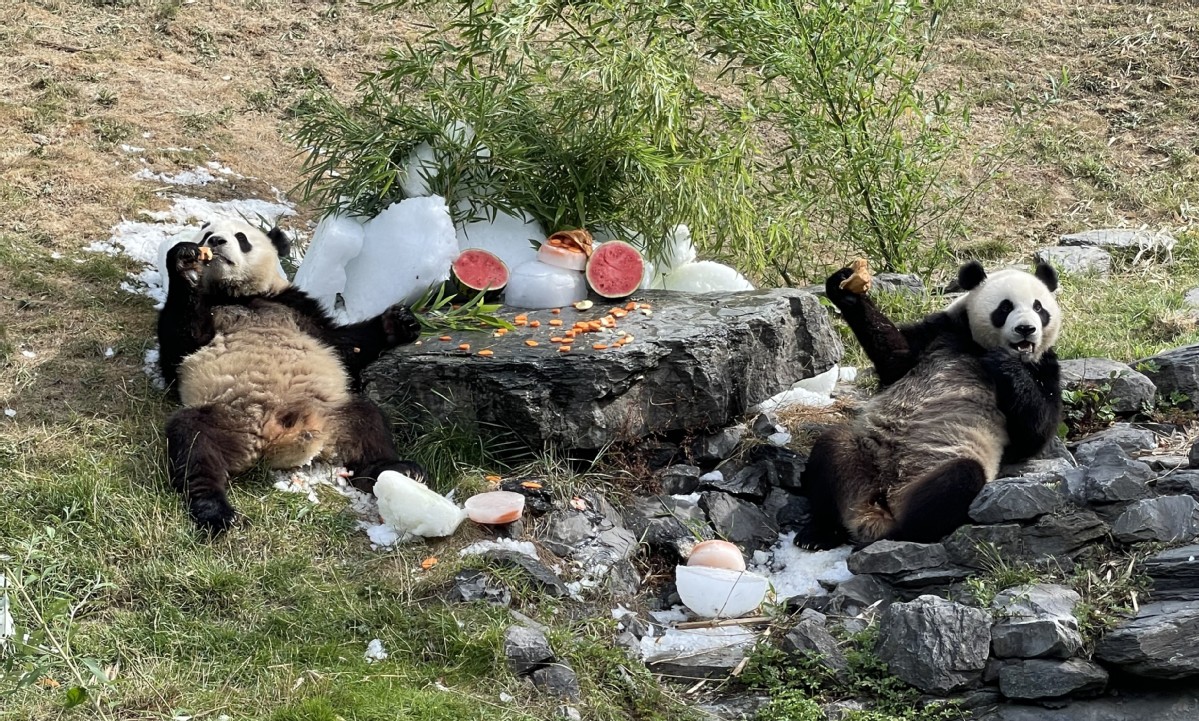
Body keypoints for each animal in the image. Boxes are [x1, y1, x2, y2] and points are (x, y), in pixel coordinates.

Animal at [154, 215, 426, 530]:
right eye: (206, 235)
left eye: (241, 238)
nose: (216, 242)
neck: (239, 296)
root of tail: (274, 436)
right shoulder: (202, 321)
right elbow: (179, 344)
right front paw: (185, 263)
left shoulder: (298, 307)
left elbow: (344, 345)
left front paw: (401, 322)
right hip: (228, 419)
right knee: (193, 443)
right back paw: (214, 510)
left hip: (334, 414)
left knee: (370, 423)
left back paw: (398, 469)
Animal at [800, 261, 1064, 549]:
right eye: (1005, 308)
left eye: (1039, 308)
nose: (1026, 329)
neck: (976, 346)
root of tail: (880, 504)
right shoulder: (939, 333)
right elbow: (896, 356)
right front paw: (846, 290)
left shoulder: (1044, 368)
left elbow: (1034, 434)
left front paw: (1004, 363)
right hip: (863, 455)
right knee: (831, 451)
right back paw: (819, 533)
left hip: (934, 469)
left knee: (959, 479)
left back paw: (900, 533)